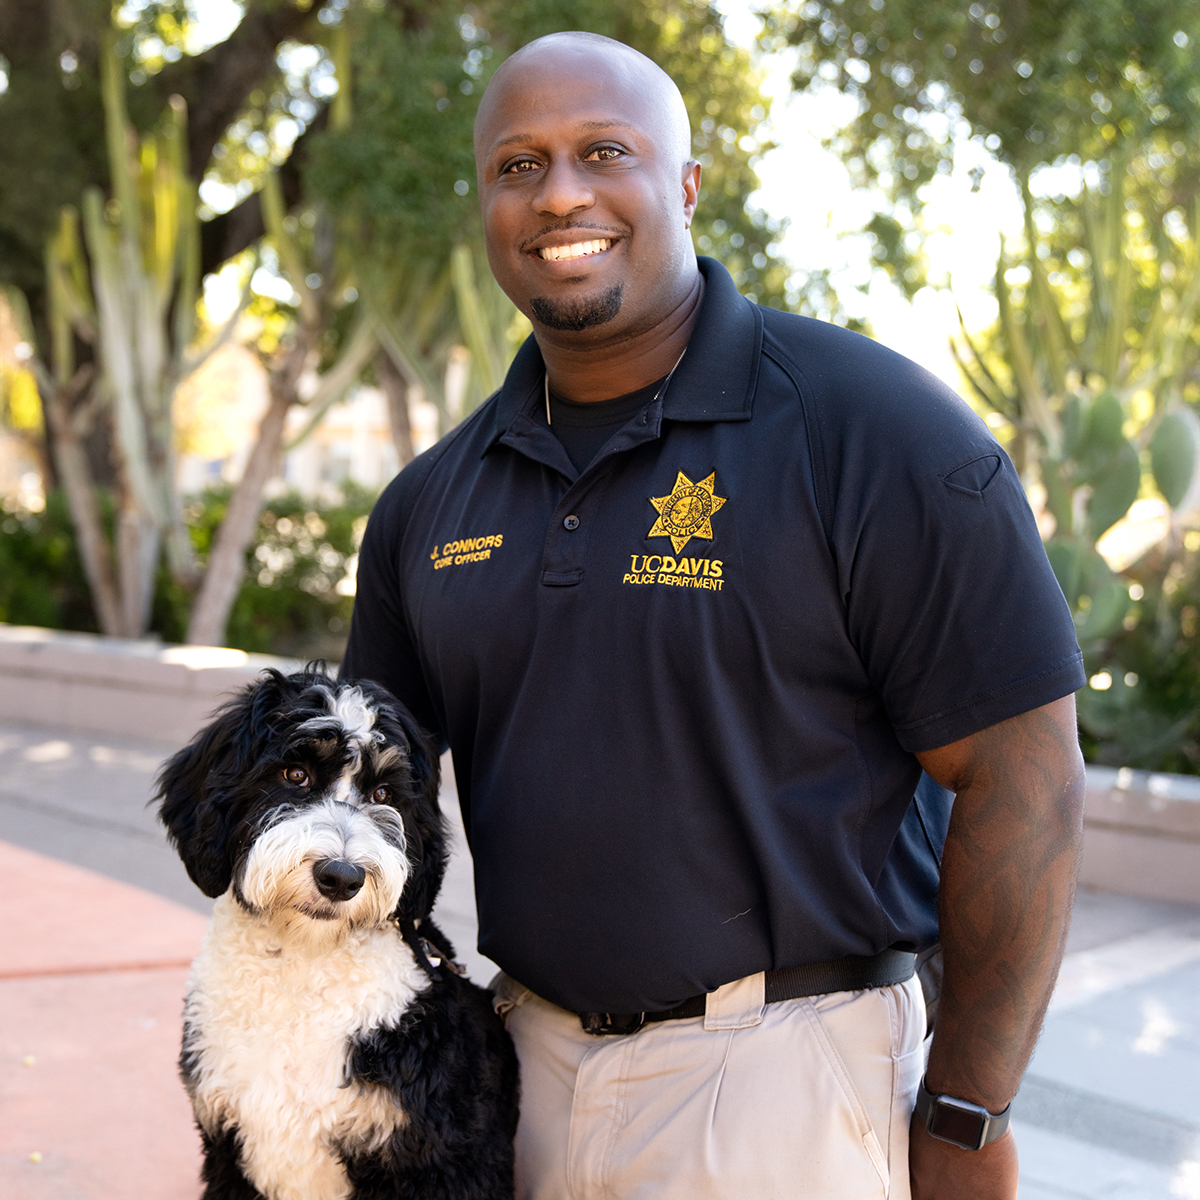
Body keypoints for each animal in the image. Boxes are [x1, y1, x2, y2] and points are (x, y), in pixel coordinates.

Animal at [156, 667, 520, 1200]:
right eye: (296, 775)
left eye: (384, 795)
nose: (342, 876)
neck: (302, 966)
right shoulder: (226, 1147)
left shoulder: (437, 1161)